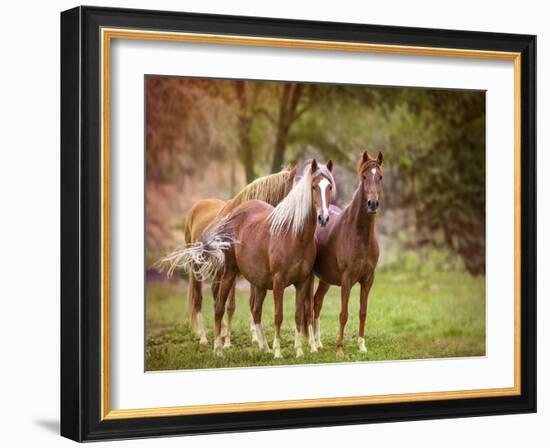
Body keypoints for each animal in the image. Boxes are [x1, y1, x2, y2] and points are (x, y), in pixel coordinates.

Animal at [157, 166, 296, 344]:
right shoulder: (233, 271)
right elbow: (231, 305)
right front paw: (229, 341)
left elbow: (249, 303)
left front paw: (254, 338)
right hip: (197, 267)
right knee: (198, 299)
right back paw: (204, 338)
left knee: (215, 294)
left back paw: (220, 331)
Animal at [312, 152, 386, 356]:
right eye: (364, 177)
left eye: (380, 177)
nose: (372, 203)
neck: (359, 235)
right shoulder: (346, 280)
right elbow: (343, 314)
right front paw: (339, 349)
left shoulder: (368, 279)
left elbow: (363, 312)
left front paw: (362, 346)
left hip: (325, 279)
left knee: (317, 302)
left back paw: (318, 343)